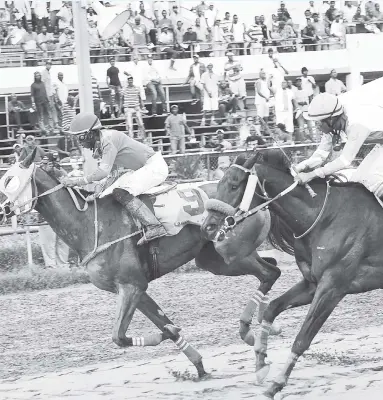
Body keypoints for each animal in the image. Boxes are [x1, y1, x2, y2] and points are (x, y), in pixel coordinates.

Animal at [0, 149, 282, 378]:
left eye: (10, 180)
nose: (3, 209)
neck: (90, 225)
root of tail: (259, 198)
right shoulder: (135, 288)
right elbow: (160, 325)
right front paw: (198, 367)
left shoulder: (131, 285)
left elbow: (119, 336)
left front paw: (170, 334)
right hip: (215, 260)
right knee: (271, 267)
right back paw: (265, 323)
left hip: (231, 253)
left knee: (270, 272)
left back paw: (250, 329)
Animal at [201, 148, 383, 398]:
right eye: (218, 183)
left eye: (234, 185)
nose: (207, 226)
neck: (326, 217)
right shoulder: (312, 283)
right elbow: (272, 308)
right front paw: (260, 361)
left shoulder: (333, 287)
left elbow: (302, 338)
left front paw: (276, 384)